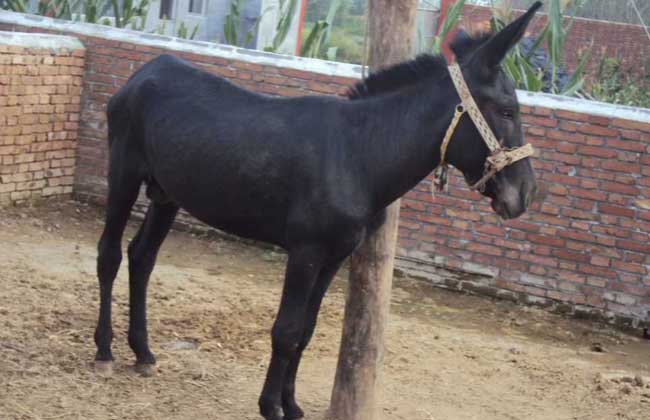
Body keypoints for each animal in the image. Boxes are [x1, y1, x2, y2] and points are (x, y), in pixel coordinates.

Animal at [93, 3, 542, 419]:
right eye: (507, 110)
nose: (525, 195)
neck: (359, 153)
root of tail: (149, 68)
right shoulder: (306, 252)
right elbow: (286, 330)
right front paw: (269, 406)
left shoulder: (335, 255)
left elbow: (306, 331)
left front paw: (290, 405)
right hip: (124, 175)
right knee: (110, 255)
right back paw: (104, 351)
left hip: (167, 195)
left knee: (142, 258)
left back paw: (143, 352)